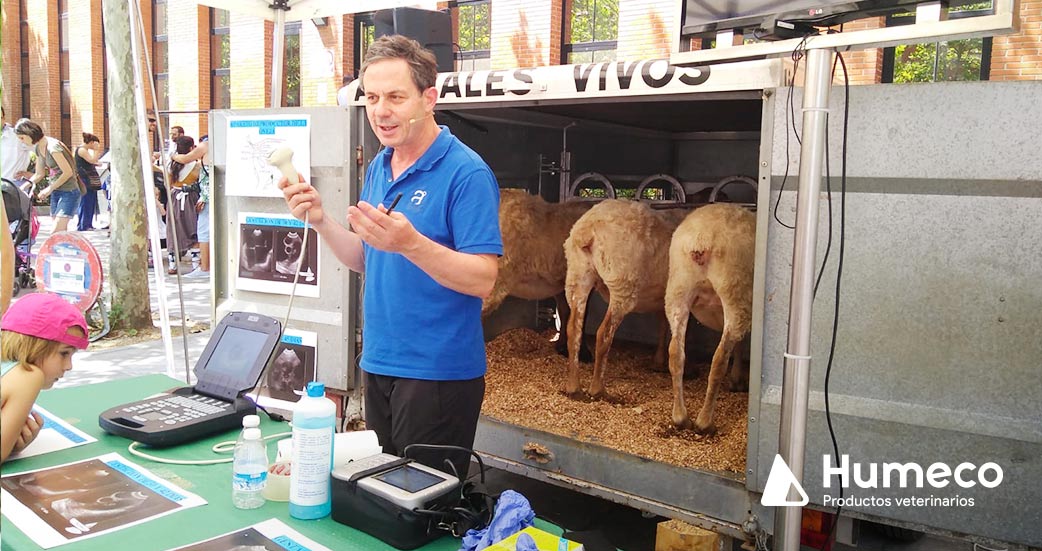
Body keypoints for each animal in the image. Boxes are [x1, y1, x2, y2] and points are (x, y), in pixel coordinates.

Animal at [562, 199, 683, 397]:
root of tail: (588, 229)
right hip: (622, 283)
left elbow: (663, 323)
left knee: (573, 329)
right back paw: (597, 389)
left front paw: (658, 361)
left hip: (578, 274)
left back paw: (573, 386)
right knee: (604, 333)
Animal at [666, 204, 758, 431]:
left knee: (675, 353)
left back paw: (680, 417)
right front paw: (737, 379)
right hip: (735, 289)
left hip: (678, 288)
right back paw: (704, 422)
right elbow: (740, 343)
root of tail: (702, 238)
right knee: (719, 359)